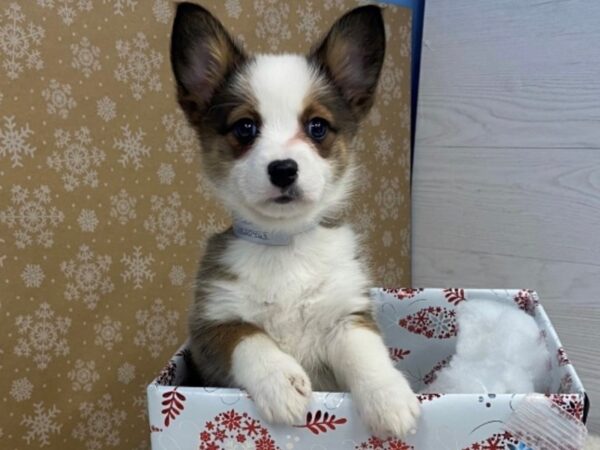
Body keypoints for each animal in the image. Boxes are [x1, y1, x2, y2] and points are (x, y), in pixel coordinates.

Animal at [171, 1, 420, 438]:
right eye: (245, 127)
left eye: (317, 126)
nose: (283, 169)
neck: (284, 244)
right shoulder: (210, 328)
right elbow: (249, 336)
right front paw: (281, 382)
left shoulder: (347, 314)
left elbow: (366, 352)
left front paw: (389, 396)